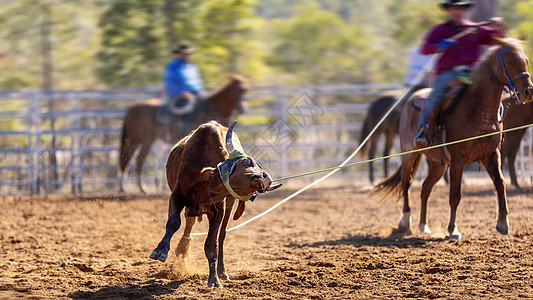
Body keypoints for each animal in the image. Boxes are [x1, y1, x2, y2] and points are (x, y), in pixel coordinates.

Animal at [118, 75, 247, 192]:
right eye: (238, 89)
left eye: (245, 90)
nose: (243, 109)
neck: (210, 109)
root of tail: (130, 110)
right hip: (136, 139)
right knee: (126, 159)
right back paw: (122, 187)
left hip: (148, 140)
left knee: (139, 159)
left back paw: (142, 188)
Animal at [372, 38, 528, 239]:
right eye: (510, 61)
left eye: (526, 61)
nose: (528, 91)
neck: (476, 109)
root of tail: (411, 99)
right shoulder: (458, 159)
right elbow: (455, 194)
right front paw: (453, 229)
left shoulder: (491, 154)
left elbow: (500, 184)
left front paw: (503, 223)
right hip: (409, 153)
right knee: (406, 182)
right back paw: (405, 222)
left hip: (438, 164)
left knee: (425, 188)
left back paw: (423, 225)